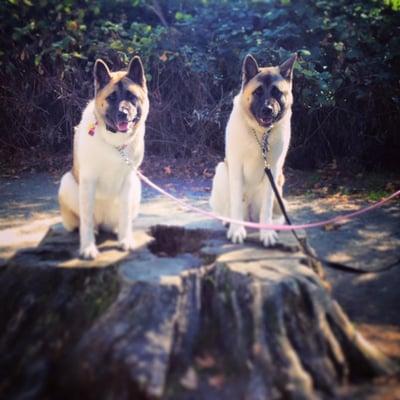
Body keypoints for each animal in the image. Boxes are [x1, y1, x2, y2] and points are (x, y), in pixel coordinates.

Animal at [57, 55, 148, 260]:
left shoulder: (129, 179)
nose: (123, 113)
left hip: (137, 185)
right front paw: (88, 247)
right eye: (111, 97)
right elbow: (86, 220)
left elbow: (124, 215)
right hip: (67, 182)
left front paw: (126, 240)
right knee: (84, 221)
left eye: (131, 96)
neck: (114, 142)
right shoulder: (88, 180)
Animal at [209, 53, 296, 247]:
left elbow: (267, 207)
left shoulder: (274, 170)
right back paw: (229, 219)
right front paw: (236, 230)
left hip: (279, 184)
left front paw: (267, 232)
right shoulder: (235, 166)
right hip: (222, 171)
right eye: (258, 92)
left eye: (277, 92)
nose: (268, 109)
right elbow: (235, 202)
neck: (260, 134)